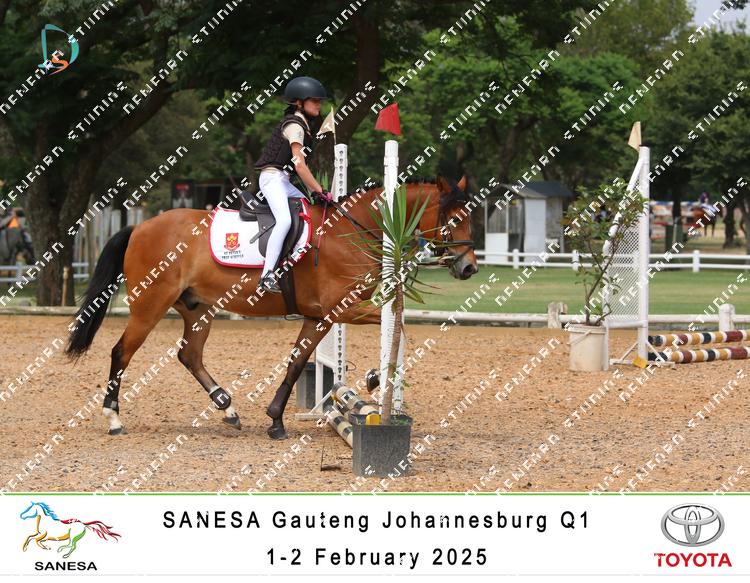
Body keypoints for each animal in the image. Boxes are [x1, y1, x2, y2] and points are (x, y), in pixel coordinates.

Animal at [64, 177, 478, 440]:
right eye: (456, 219)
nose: (469, 268)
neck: (354, 231)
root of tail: (139, 227)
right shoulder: (341, 310)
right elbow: (397, 323)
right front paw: (376, 377)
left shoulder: (318, 318)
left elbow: (297, 363)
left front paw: (276, 420)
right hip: (149, 307)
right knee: (122, 352)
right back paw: (113, 418)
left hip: (198, 310)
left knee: (189, 355)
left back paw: (227, 407)